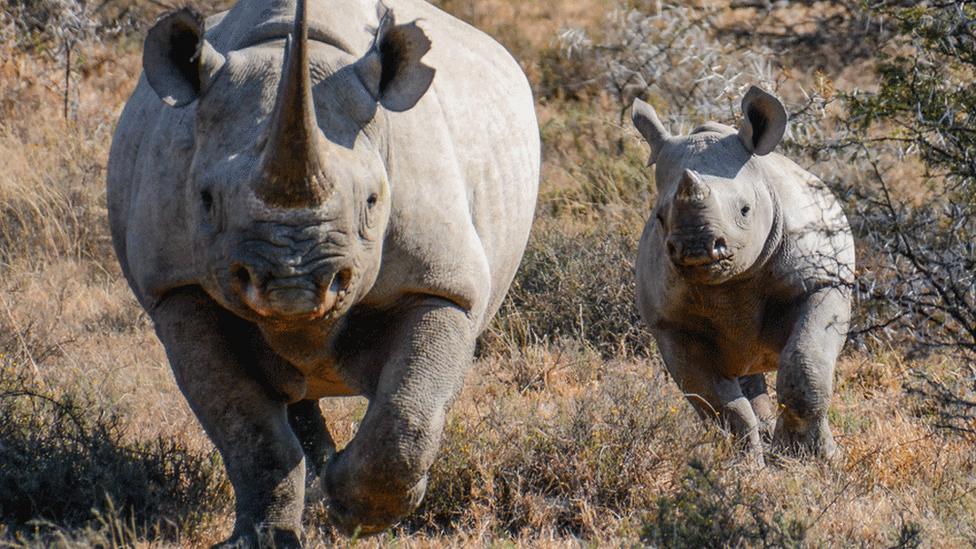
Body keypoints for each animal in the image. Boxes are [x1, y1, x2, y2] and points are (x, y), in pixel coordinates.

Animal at [109, 0, 536, 540]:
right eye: (205, 200)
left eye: (373, 201)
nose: (292, 288)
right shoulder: (176, 288)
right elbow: (245, 425)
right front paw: (264, 540)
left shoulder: (446, 283)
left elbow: (409, 411)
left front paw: (356, 513)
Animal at [632, 86, 856, 462]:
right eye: (660, 218)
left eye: (745, 210)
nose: (697, 247)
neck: (731, 282)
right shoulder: (671, 322)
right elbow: (721, 405)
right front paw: (746, 465)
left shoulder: (823, 283)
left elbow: (805, 366)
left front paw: (811, 458)